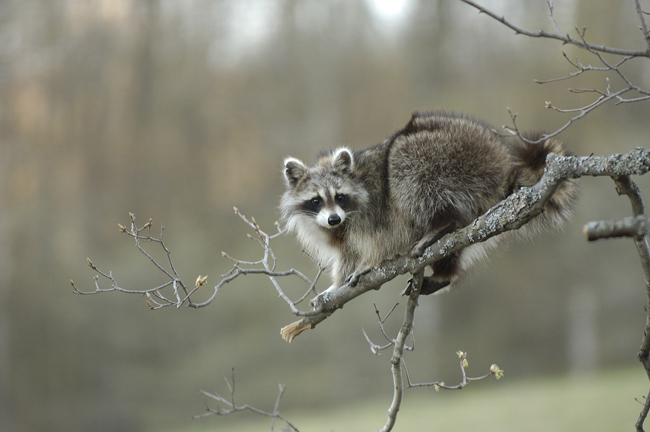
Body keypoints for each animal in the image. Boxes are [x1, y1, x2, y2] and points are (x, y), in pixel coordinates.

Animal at [280, 111, 577, 296]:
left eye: (339, 196)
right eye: (316, 200)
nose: (334, 219)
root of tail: (504, 164)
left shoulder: (375, 205)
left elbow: (383, 237)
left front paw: (370, 262)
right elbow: (347, 254)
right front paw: (338, 283)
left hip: (449, 158)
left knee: (405, 161)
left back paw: (440, 224)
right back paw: (445, 271)